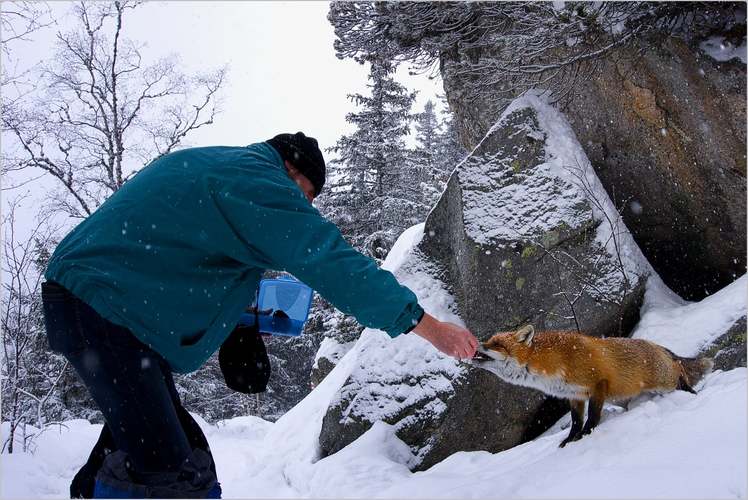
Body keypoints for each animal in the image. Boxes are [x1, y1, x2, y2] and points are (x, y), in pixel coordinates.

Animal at [474, 326, 712, 448]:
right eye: (490, 340)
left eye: (497, 344)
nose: (477, 343)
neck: (555, 363)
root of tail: (654, 344)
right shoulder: (575, 394)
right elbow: (575, 421)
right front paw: (570, 440)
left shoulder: (598, 384)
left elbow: (593, 416)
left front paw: (587, 434)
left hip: (663, 381)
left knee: (679, 368)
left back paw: (690, 390)